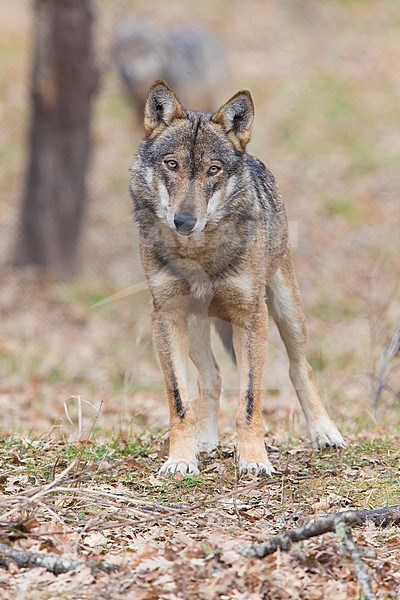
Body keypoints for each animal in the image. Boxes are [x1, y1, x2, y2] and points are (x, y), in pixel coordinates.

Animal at [130, 79, 346, 476]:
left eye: (213, 169)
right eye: (172, 164)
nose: (184, 221)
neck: (198, 254)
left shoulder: (251, 317)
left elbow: (250, 400)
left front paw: (254, 460)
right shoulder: (166, 317)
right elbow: (179, 400)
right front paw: (181, 459)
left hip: (287, 310)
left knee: (301, 368)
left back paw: (325, 433)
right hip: (196, 323)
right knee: (211, 376)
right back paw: (205, 442)